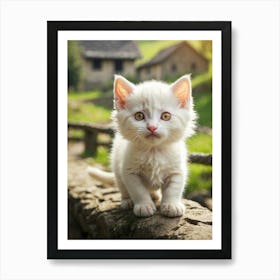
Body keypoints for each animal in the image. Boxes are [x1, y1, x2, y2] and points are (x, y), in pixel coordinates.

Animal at [88, 74, 196, 217]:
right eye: (139, 116)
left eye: (166, 116)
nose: (152, 127)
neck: (153, 151)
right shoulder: (129, 171)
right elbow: (138, 190)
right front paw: (144, 206)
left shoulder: (176, 170)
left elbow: (174, 189)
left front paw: (171, 205)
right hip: (117, 167)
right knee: (122, 187)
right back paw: (127, 201)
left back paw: (155, 195)